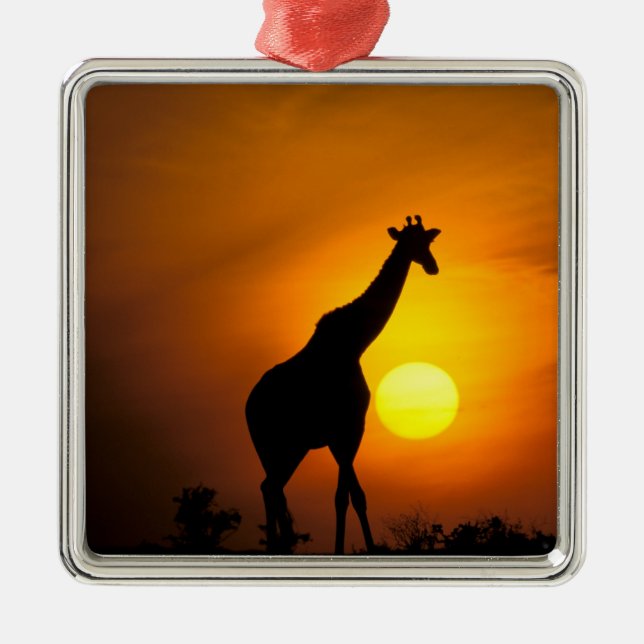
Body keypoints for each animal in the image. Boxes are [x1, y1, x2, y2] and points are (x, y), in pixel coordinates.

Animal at [245, 215, 441, 554]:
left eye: (427, 240)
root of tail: (248, 407)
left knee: (271, 487)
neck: (355, 343)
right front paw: (366, 549)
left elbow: (344, 496)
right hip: (276, 444)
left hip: (287, 447)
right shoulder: (347, 427)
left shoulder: (343, 432)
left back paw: (280, 547)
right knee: (272, 487)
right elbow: (353, 496)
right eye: (413, 242)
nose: (432, 266)